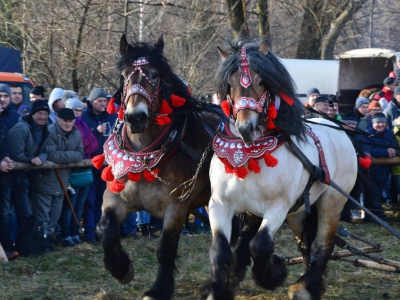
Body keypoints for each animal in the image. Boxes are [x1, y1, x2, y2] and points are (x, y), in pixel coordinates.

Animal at [203, 38, 360, 298]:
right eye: (230, 84)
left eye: (260, 81)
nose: (245, 127)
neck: (248, 153)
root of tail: (340, 131)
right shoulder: (220, 205)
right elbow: (220, 250)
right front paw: (217, 289)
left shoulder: (278, 206)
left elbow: (261, 245)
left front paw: (272, 274)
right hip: (298, 211)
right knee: (304, 243)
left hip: (332, 201)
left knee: (322, 244)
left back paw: (306, 287)